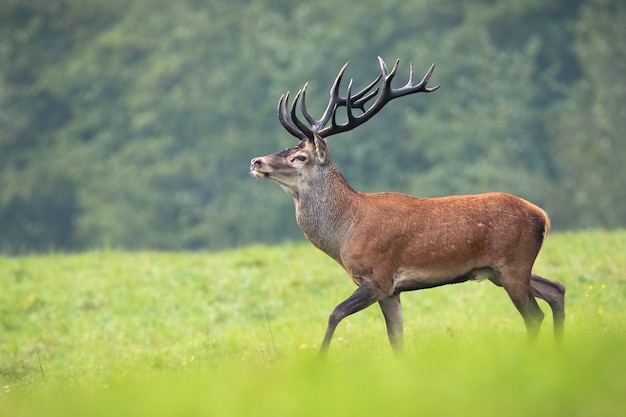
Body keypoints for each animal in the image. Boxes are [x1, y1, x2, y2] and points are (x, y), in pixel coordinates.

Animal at [249, 56, 564, 358]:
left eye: (299, 157)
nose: (256, 161)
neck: (345, 233)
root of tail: (543, 217)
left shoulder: (379, 276)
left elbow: (334, 314)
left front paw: (319, 361)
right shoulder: (391, 290)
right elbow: (396, 338)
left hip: (513, 263)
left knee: (535, 314)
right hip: (501, 271)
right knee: (557, 289)